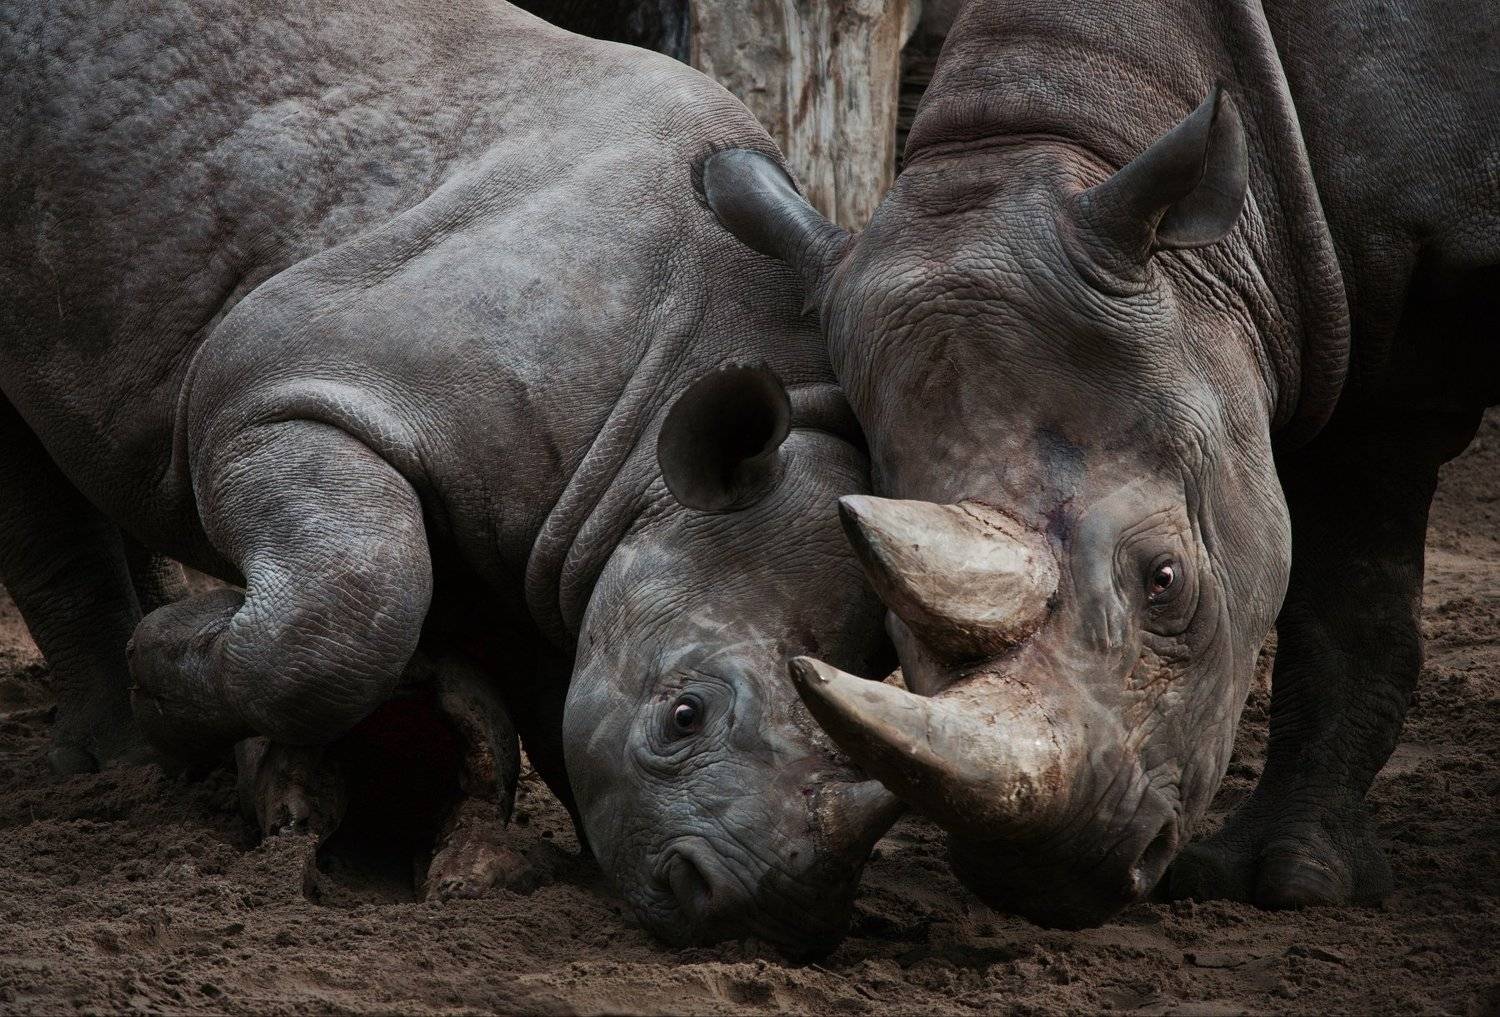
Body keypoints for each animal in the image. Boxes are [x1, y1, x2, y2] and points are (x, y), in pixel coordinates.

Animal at [0, 0, 899, 951]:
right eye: (683, 715)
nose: (760, 917)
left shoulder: (546, 544)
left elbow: (549, 693)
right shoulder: (275, 397)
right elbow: (350, 609)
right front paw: (170, 654)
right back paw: (125, 756)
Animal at [704, 0, 1499, 926]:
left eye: (1166, 580)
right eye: (890, 626)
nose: (1046, 879)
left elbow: (1350, 602)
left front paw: (1296, 884)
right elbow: (1344, 606)